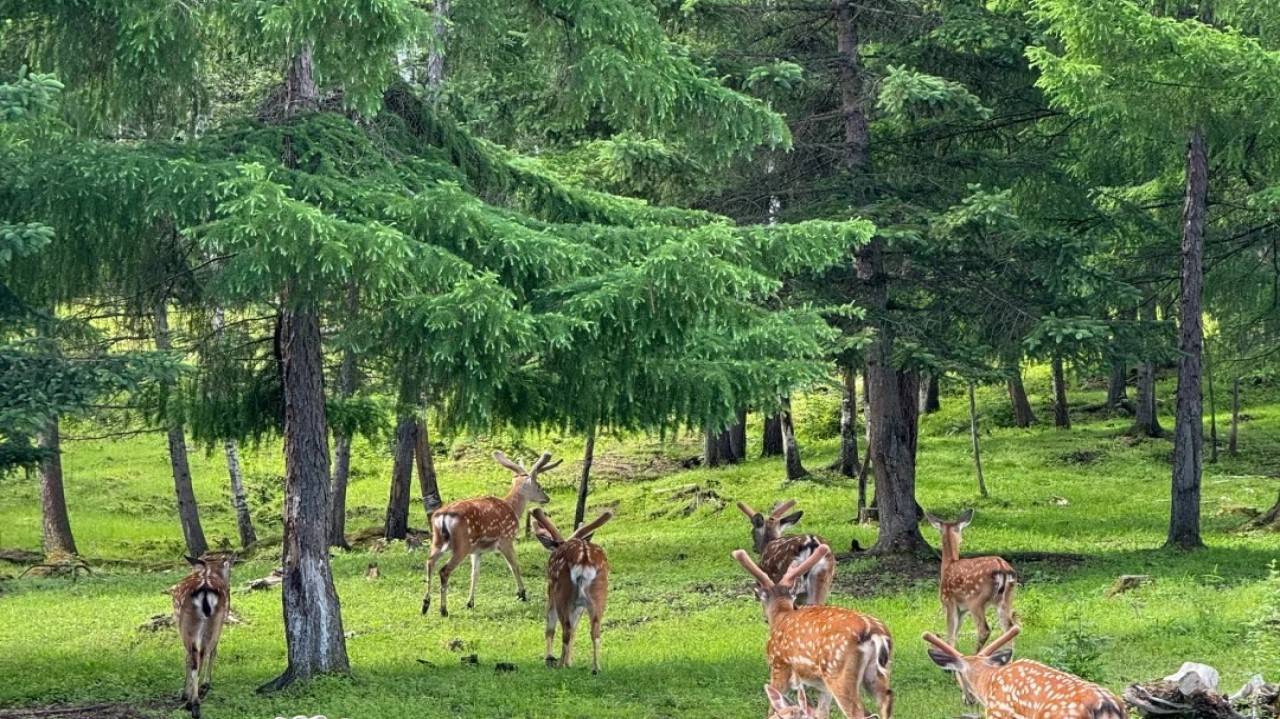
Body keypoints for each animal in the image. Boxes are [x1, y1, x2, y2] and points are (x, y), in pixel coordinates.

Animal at [172, 553, 233, 718]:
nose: (229, 586)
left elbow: (187, 658)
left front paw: (185, 693)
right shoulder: (221, 624)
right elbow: (213, 652)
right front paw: (204, 685)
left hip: (188, 625)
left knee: (194, 658)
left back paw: (193, 704)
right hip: (214, 623)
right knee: (204, 653)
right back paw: (197, 698)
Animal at [421, 450, 560, 617]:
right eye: (538, 485)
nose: (547, 498)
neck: (513, 509)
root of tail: (443, 515)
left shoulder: (477, 551)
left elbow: (475, 574)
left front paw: (470, 603)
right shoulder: (506, 539)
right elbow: (514, 565)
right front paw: (522, 594)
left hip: (438, 541)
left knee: (429, 563)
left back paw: (425, 605)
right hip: (462, 544)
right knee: (444, 570)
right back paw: (443, 610)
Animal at [530, 507, 613, 673]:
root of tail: (584, 560)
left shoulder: (551, 593)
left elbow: (550, 628)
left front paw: (551, 659)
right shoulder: (579, 606)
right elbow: (575, 629)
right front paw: (569, 662)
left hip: (562, 593)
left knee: (566, 630)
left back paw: (560, 665)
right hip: (599, 594)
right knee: (594, 630)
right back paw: (596, 667)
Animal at [734, 544, 894, 719]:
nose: (764, 618)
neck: (781, 616)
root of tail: (876, 633)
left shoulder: (779, 665)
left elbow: (773, 707)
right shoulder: (822, 686)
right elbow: (821, 712)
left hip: (838, 672)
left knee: (858, 712)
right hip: (877, 675)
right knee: (885, 704)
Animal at [924, 509, 1016, 654]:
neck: (948, 565)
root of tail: (1001, 567)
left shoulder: (949, 602)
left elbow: (950, 635)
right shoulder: (962, 610)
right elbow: (955, 633)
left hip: (976, 600)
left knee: (984, 630)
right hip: (1007, 597)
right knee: (1010, 628)